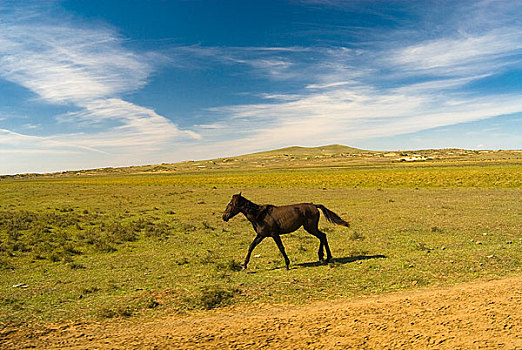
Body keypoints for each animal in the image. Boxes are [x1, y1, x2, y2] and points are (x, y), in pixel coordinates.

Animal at [220, 193, 350, 270]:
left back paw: (325, 257)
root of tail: (314, 206)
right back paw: (324, 257)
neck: (259, 215)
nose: (224, 217)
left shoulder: (274, 234)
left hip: (310, 228)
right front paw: (244, 265)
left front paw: (287, 264)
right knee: (323, 236)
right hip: (310, 228)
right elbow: (251, 246)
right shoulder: (261, 235)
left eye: (230, 204)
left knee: (322, 236)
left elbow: (281, 248)